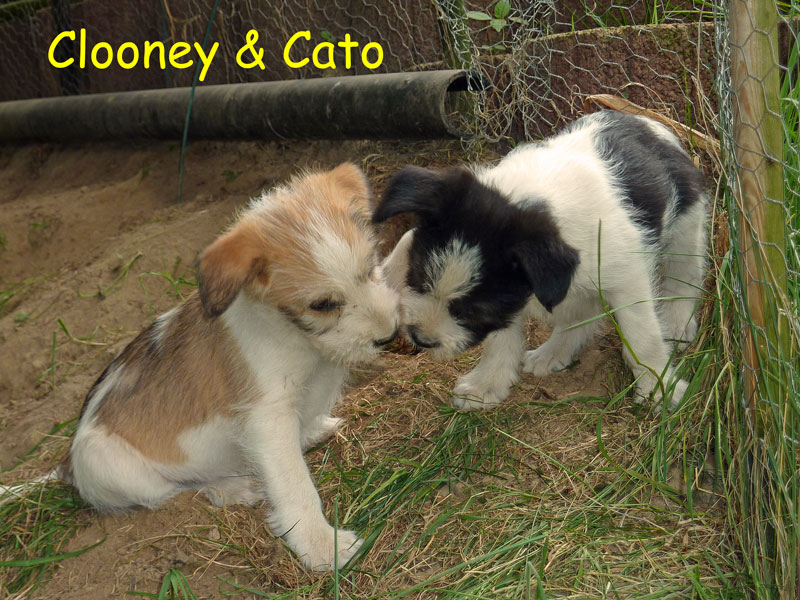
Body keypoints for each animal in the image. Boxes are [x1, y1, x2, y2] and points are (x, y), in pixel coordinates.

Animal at [27, 163, 398, 571]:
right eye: (322, 304)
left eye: (372, 267)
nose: (391, 336)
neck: (300, 341)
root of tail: (65, 466)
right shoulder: (267, 417)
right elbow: (294, 484)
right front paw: (322, 546)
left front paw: (311, 433)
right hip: (114, 467)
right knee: (179, 491)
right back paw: (232, 487)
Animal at [373, 111, 707, 410]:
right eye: (416, 280)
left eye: (474, 310)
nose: (421, 339)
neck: (527, 200)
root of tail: (646, 121)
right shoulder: (516, 294)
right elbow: (501, 338)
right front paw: (487, 384)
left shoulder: (628, 279)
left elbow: (642, 335)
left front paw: (659, 387)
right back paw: (553, 352)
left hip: (688, 225)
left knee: (685, 272)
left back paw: (678, 322)